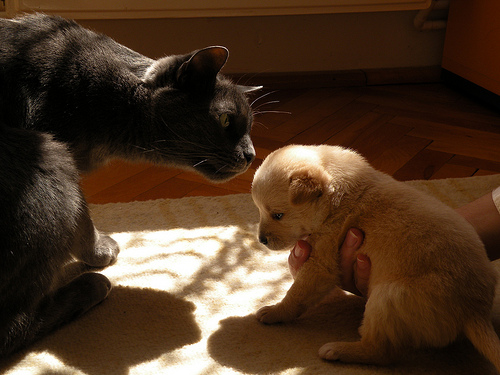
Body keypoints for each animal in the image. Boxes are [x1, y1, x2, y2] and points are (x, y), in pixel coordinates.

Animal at [252, 145, 500, 372]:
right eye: (260, 211)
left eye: (278, 215)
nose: (261, 240)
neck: (337, 197)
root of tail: (475, 312)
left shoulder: (321, 262)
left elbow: (296, 295)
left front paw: (275, 312)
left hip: (388, 299)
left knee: (382, 351)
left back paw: (339, 350)